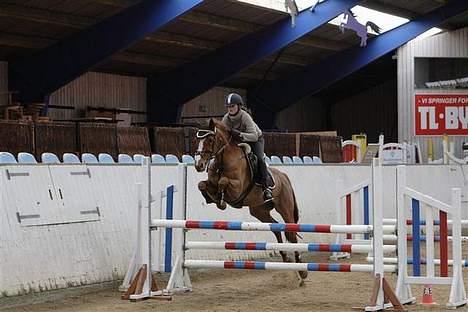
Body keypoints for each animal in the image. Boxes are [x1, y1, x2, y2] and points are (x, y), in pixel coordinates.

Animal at [194, 119, 308, 280]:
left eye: (210, 139)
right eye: (197, 140)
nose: (198, 165)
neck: (223, 161)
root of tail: (284, 176)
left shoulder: (237, 188)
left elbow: (223, 181)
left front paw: (221, 202)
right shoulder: (211, 182)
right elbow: (202, 184)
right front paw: (214, 199)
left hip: (285, 208)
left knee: (291, 233)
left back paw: (302, 270)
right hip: (259, 211)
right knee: (276, 228)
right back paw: (286, 258)